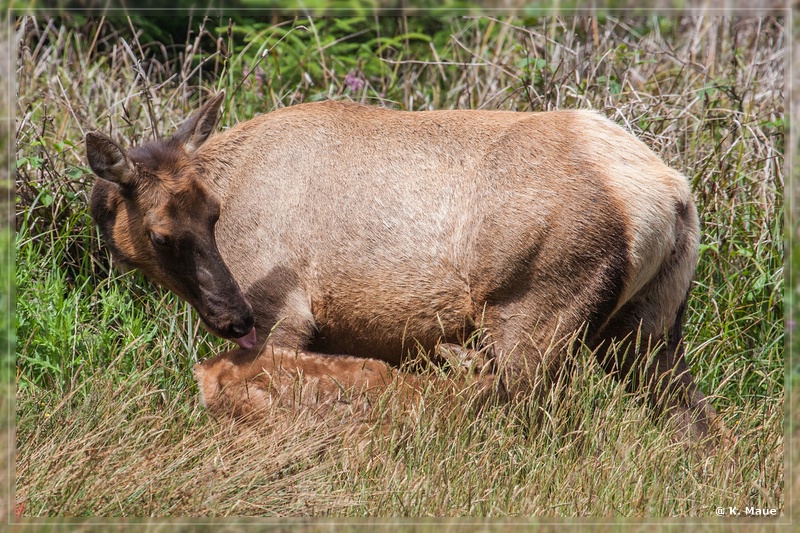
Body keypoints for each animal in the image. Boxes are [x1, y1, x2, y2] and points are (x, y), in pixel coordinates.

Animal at [87, 91, 720, 440]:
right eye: (165, 233)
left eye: (214, 215)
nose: (230, 315)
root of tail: (675, 196)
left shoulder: (282, 311)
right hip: (649, 326)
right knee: (699, 425)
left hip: (537, 310)